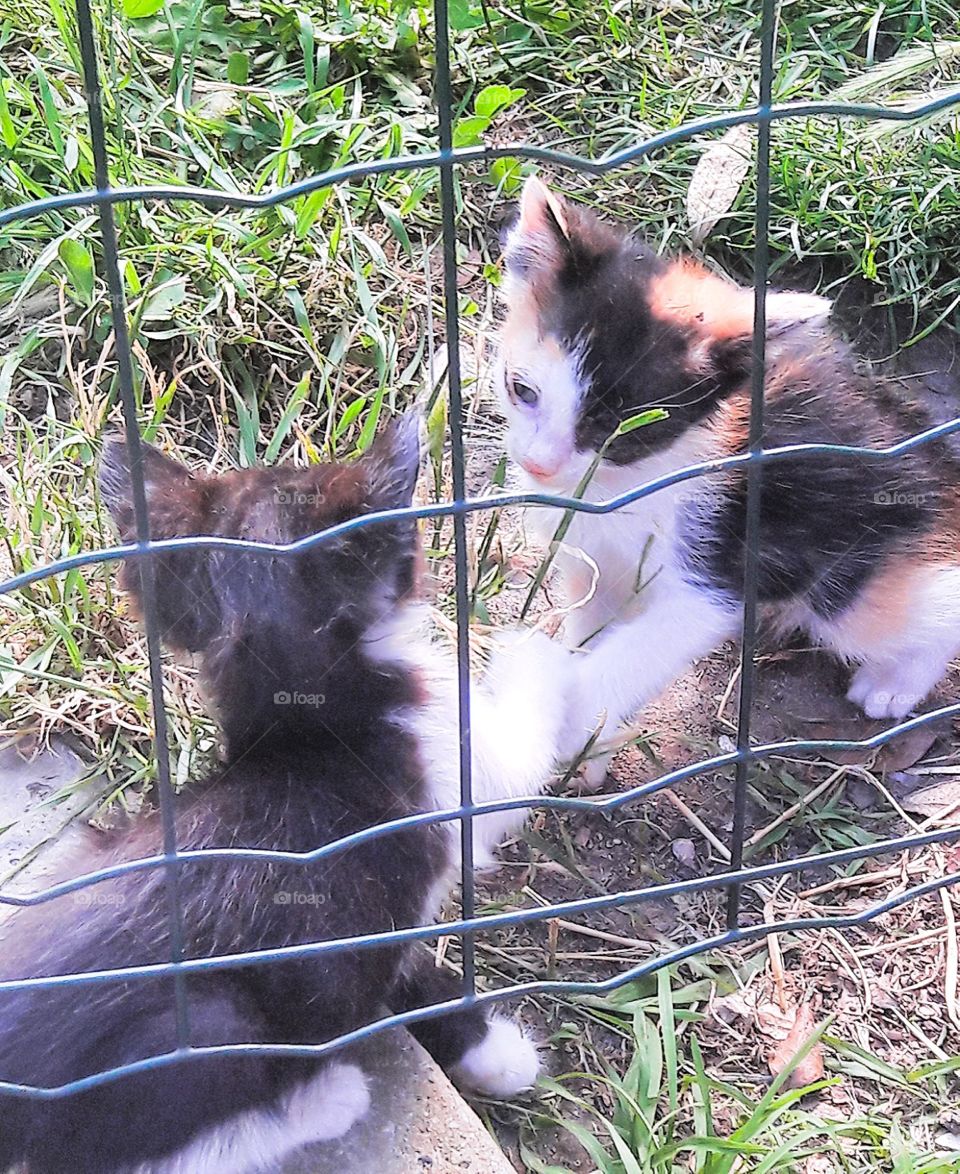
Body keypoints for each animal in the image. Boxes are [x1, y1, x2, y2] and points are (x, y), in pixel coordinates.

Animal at [0, 417, 568, 1174]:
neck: (309, 717)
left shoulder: (378, 918)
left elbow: (403, 972)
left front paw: (484, 1048)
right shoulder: (457, 772)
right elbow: (528, 743)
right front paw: (544, 651)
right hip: (211, 1030)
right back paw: (324, 1100)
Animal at [492, 178, 957, 784]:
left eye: (619, 429)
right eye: (521, 389)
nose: (539, 465)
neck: (620, 484)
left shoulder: (720, 568)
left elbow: (633, 654)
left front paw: (550, 717)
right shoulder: (595, 556)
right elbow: (591, 629)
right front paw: (588, 755)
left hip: (854, 575)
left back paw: (893, 683)